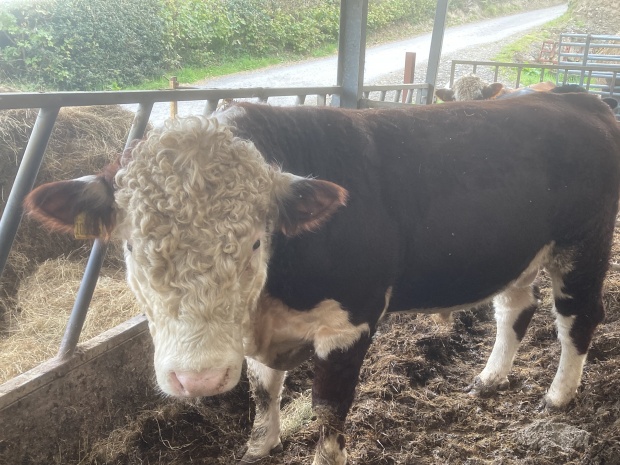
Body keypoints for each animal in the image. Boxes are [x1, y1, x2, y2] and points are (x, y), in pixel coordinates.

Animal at [23, 92, 620, 462]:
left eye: (257, 240)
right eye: (127, 245)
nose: (198, 380)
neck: (268, 300)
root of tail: (575, 97)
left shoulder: (349, 322)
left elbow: (329, 406)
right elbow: (263, 390)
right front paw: (258, 447)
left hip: (583, 247)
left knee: (578, 318)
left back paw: (558, 396)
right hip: (519, 252)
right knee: (514, 309)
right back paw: (490, 377)